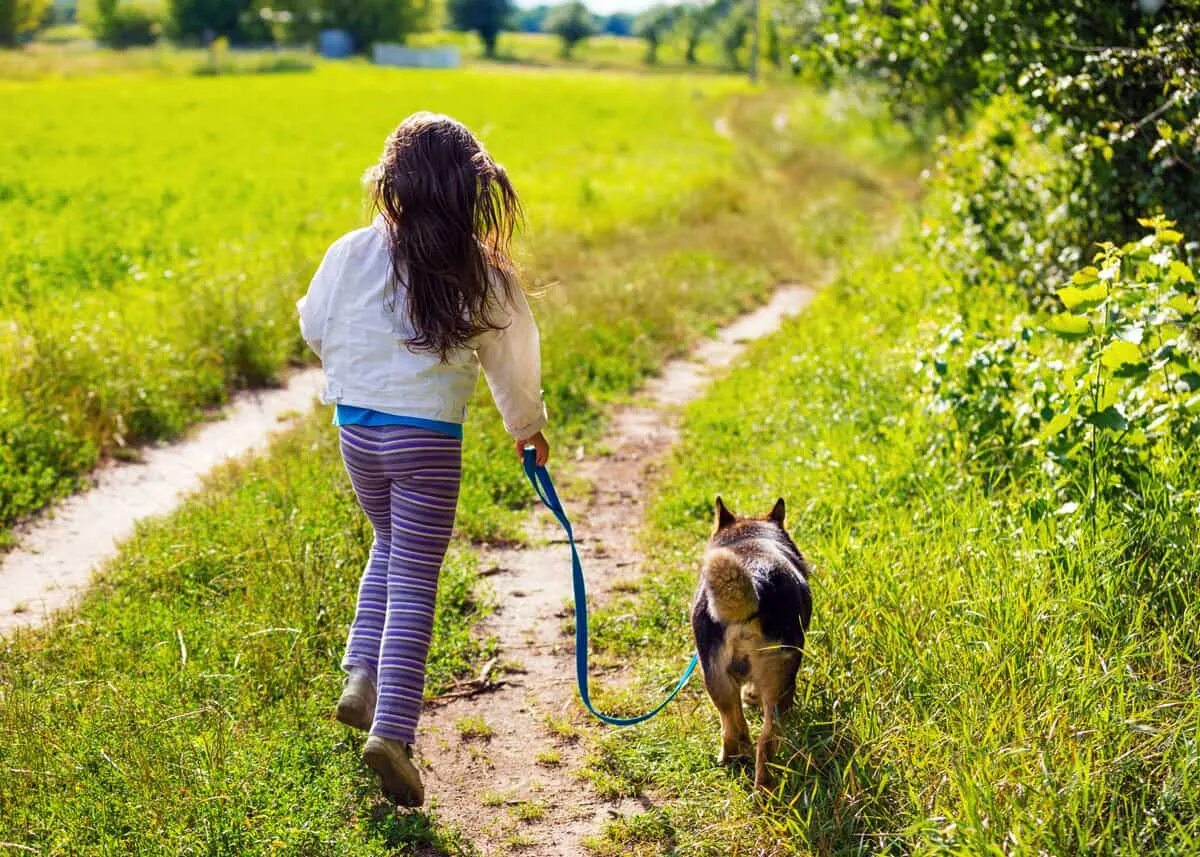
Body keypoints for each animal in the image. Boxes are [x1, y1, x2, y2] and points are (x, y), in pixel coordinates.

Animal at [691, 494, 811, 787]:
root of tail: (755, 580)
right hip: (779, 683)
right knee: (766, 740)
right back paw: (765, 788)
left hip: (714, 677)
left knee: (732, 724)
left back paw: (732, 757)